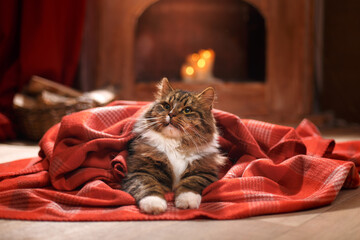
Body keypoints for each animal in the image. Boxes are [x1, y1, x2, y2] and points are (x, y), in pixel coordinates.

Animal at [124, 78, 225, 215]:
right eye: (167, 106)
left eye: (187, 110)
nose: (171, 114)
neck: (174, 144)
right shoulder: (141, 170)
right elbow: (148, 186)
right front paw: (154, 205)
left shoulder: (204, 171)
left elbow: (191, 183)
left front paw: (186, 202)